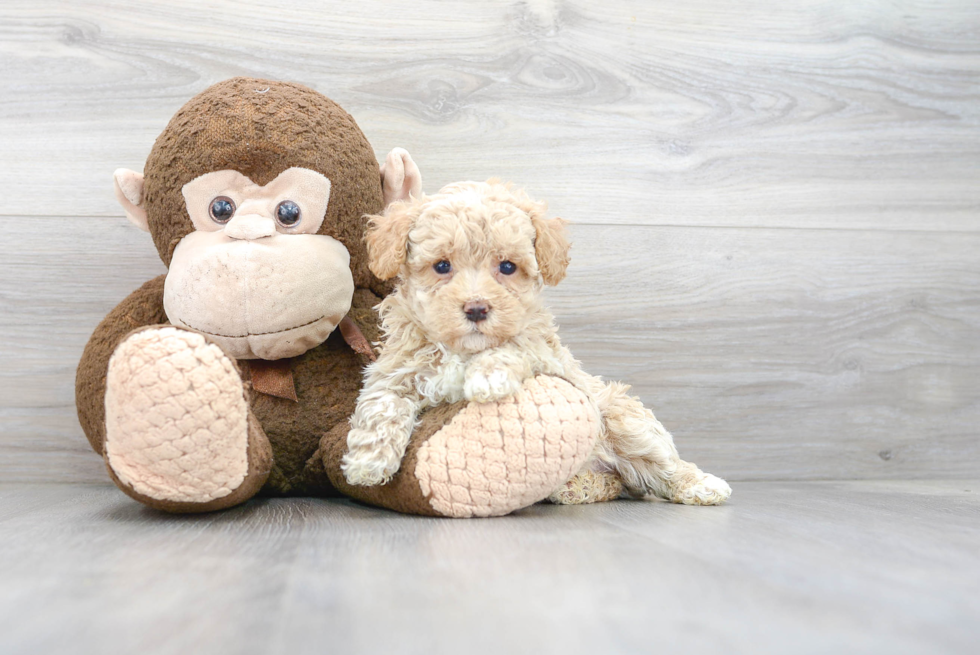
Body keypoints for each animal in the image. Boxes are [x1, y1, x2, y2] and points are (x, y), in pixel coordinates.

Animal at [340, 181, 732, 508]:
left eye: (507, 267)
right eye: (441, 266)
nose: (477, 308)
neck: (463, 349)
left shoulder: (549, 358)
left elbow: (516, 345)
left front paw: (488, 377)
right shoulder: (397, 369)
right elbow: (382, 404)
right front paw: (367, 463)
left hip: (621, 418)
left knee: (661, 464)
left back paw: (702, 486)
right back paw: (578, 487)